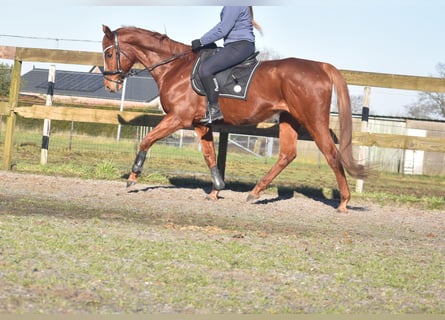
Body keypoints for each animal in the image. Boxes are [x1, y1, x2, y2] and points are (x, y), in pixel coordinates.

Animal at [101, 25, 364, 212]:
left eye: (110, 52)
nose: (110, 85)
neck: (176, 68)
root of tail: (321, 66)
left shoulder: (178, 119)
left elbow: (147, 141)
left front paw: (132, 178)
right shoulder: (200, 125)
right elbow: (210, 156)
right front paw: (216, 189)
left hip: (313, 120)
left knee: (331, 154)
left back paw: (343, 202)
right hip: (290, 119)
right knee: (287, 154)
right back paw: (255, 192)